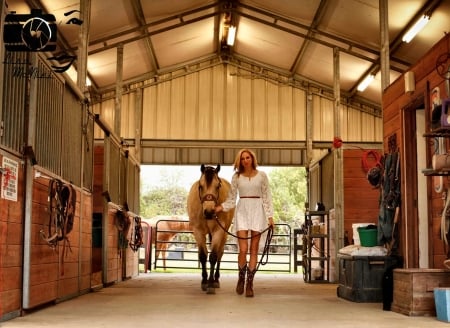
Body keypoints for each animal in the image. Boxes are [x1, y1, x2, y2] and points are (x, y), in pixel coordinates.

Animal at [187, 164, 236, 294]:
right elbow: (203, 256)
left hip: (224, 234)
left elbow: (213, 256)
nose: (209, 212)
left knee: (220, 254)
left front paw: (210, 283)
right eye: (200, 186)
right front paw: (204, 281)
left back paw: (216, 280)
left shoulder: (219, 231)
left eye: (217, 186)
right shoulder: (198, 232)